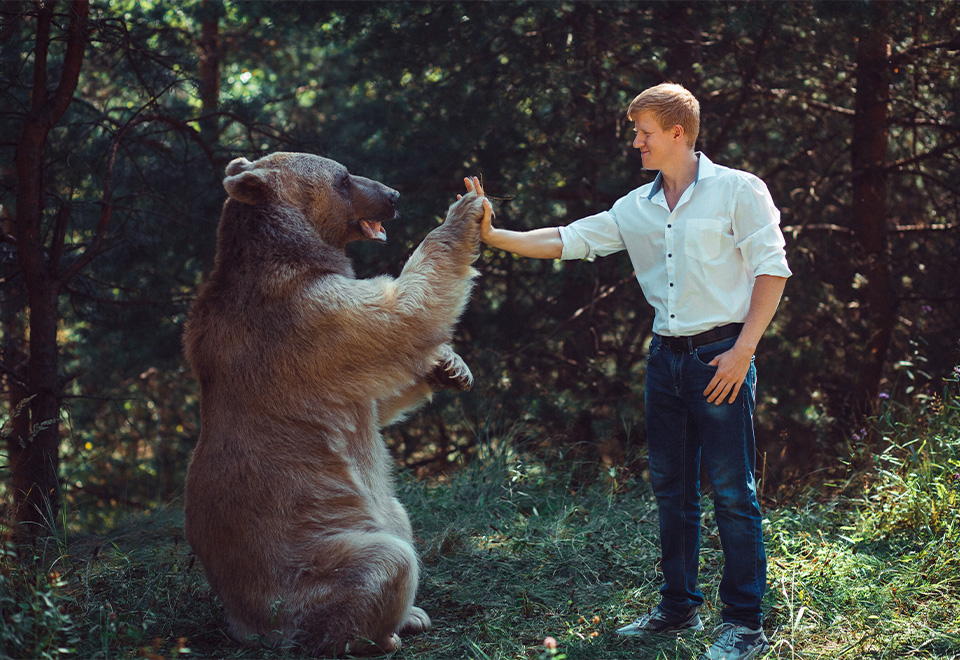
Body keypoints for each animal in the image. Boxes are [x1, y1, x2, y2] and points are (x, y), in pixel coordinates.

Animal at [182, 152, 485, 655]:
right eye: (343, 177)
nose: (393, 195)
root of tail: (245, 625)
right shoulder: (304, 319)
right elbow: (399, 316)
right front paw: (464, 213)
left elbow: (377, 403)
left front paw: (451, 367)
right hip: (307, 566)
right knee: (385, 560)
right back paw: (383, 633)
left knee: (399, 515)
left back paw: (411, 615)